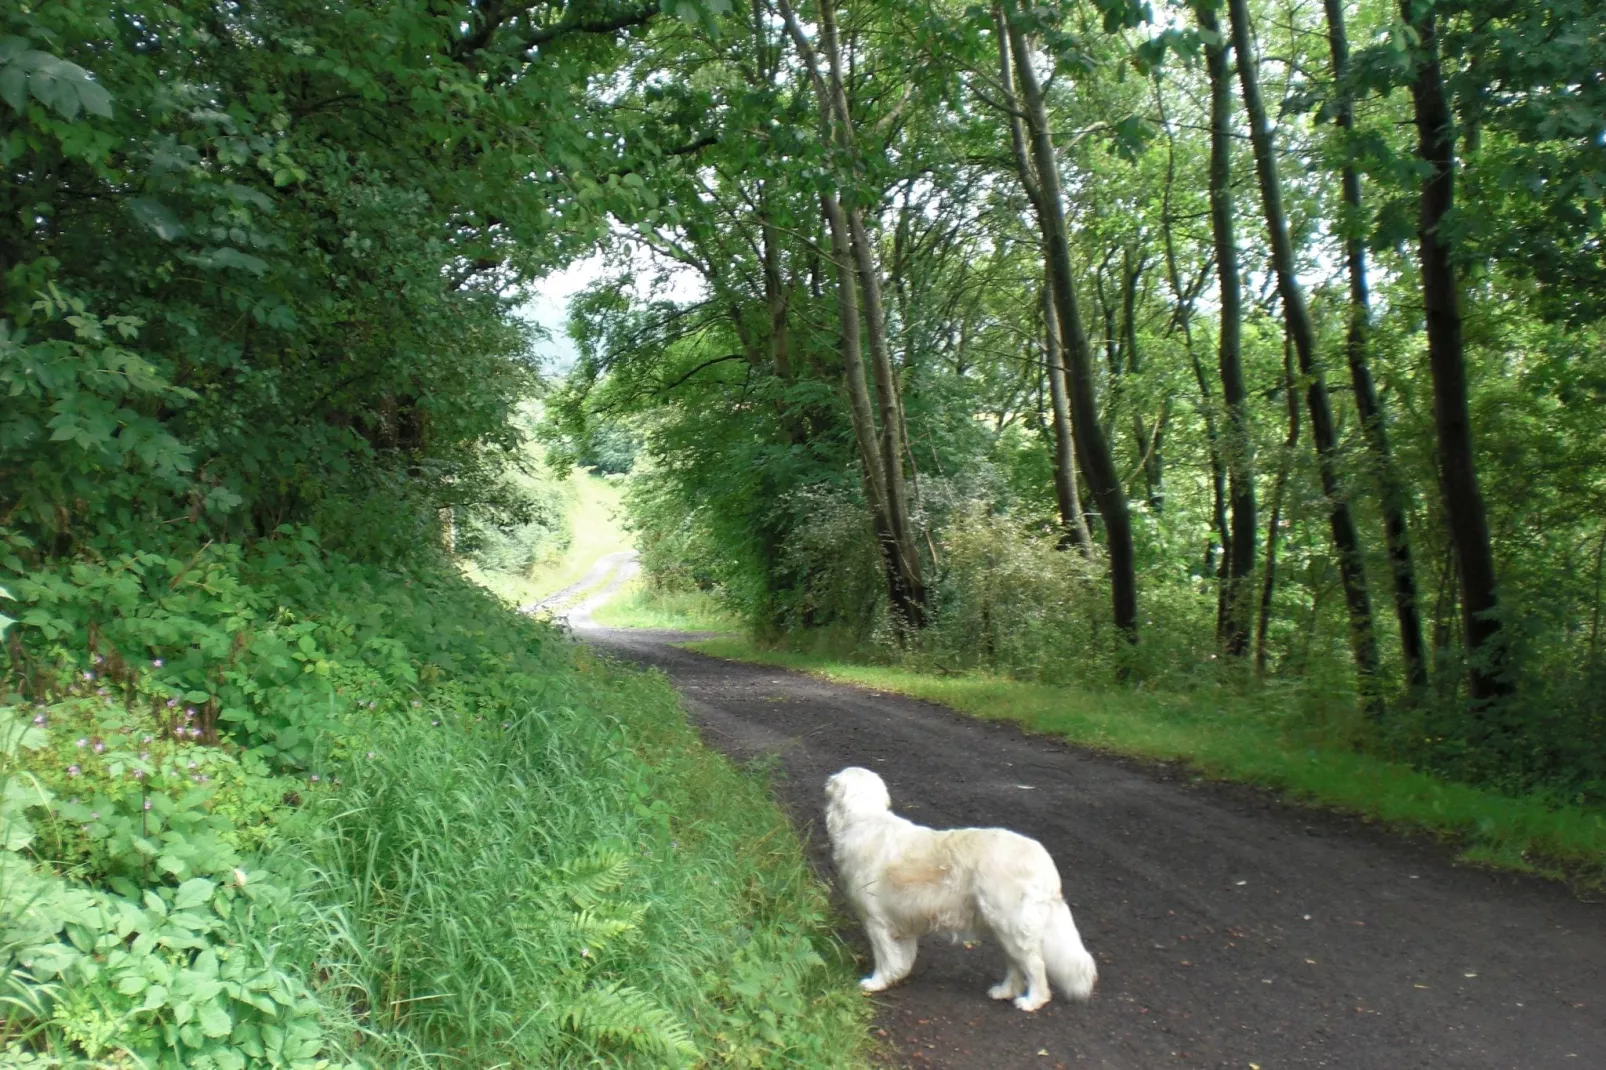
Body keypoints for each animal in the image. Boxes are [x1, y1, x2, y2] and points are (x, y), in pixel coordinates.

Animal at [828, 761, 1092, 1002]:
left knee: (1035, 965)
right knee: (1016, 966)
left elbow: (885, 958)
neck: (864, 818)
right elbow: (901, 958)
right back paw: (1004, 991)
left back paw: (1031, 1001)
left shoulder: (876, 922)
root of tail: (1043, 859)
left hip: (1010, 924)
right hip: (1002, 928)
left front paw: (876, 983)